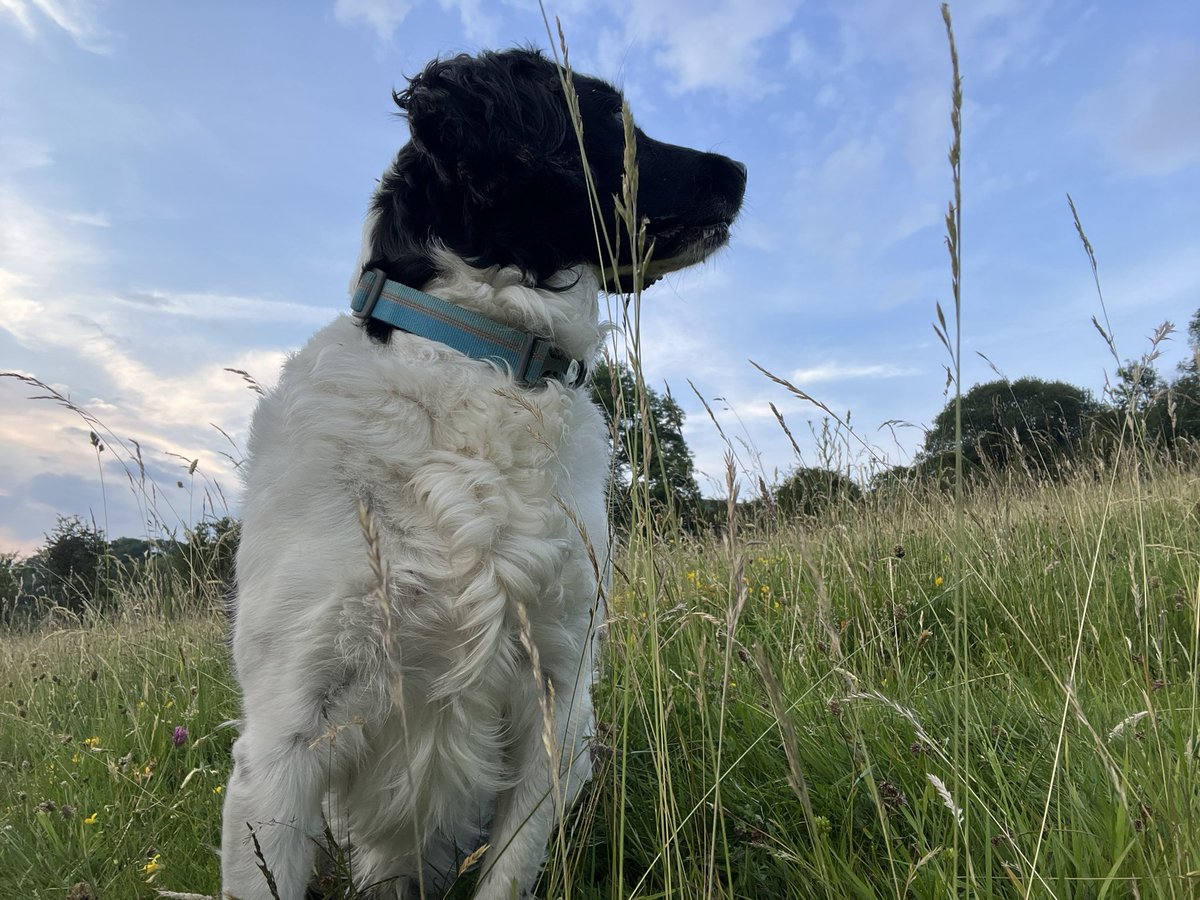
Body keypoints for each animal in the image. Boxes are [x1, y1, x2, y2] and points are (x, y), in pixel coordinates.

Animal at [217, 47, 739, 900]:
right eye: (611, 117)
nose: (740, 170)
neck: (482, 363)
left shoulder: (558, 696)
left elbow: (510, 868)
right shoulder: (286, 734)